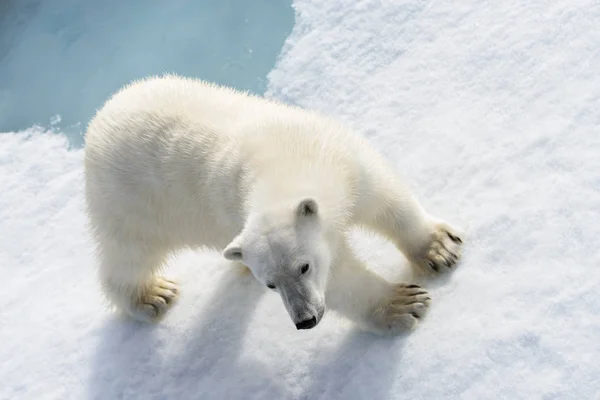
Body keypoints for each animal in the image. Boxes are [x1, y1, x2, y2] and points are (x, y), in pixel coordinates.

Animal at [83, 74, 464, 334]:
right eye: (270, 283)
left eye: (303, 267)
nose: (305, 320)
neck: (281, 163)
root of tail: (100, 117)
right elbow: (340, 278)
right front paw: (404, 304)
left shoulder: (345, 162)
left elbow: (386, 199)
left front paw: (440, 249)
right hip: (133, 201)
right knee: (129, 253)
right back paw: (152, 295)